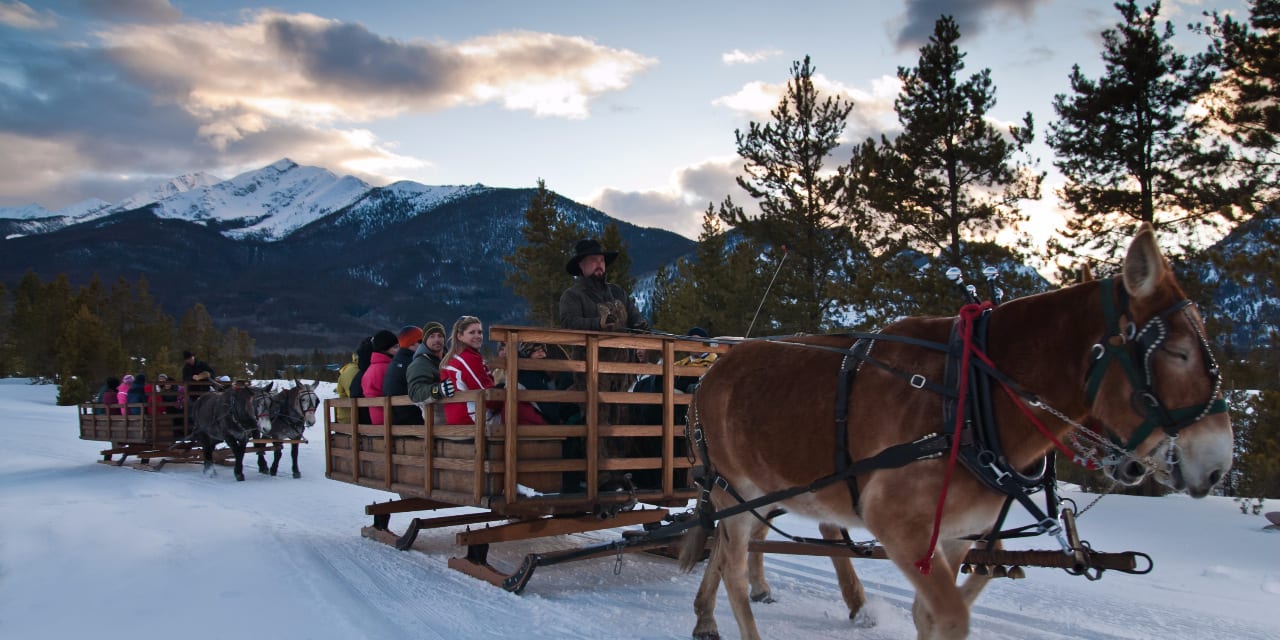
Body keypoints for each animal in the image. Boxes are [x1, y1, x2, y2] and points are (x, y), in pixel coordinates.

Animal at [680, 222, 1228, 637]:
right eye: (1177, 352)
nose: (1218, 465)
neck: (973, 402)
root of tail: (709, 373)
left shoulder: (955, 535)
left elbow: (937, 610)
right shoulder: (896, 525)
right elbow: (952, 615)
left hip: (767, 492)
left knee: (731, 550)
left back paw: (716, 611)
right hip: (735, 492)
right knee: (732, 563)